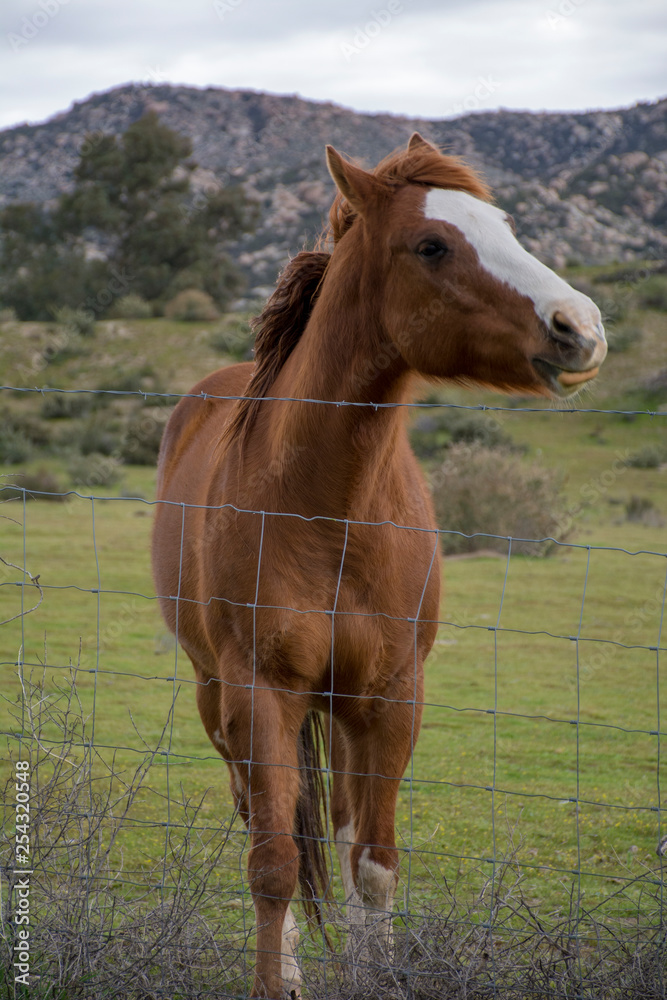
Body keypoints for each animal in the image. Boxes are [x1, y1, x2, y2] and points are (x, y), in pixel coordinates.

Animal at [151, 135, 604, 1000]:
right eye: (430, 246)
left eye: (504, 224)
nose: (581, 326)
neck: (330, 511)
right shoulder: (260, 694)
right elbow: (273, 865)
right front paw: (278, 982)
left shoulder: (393, 698)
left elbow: (373, 863)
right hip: (215, 696)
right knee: (262, 824)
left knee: (336, 826)